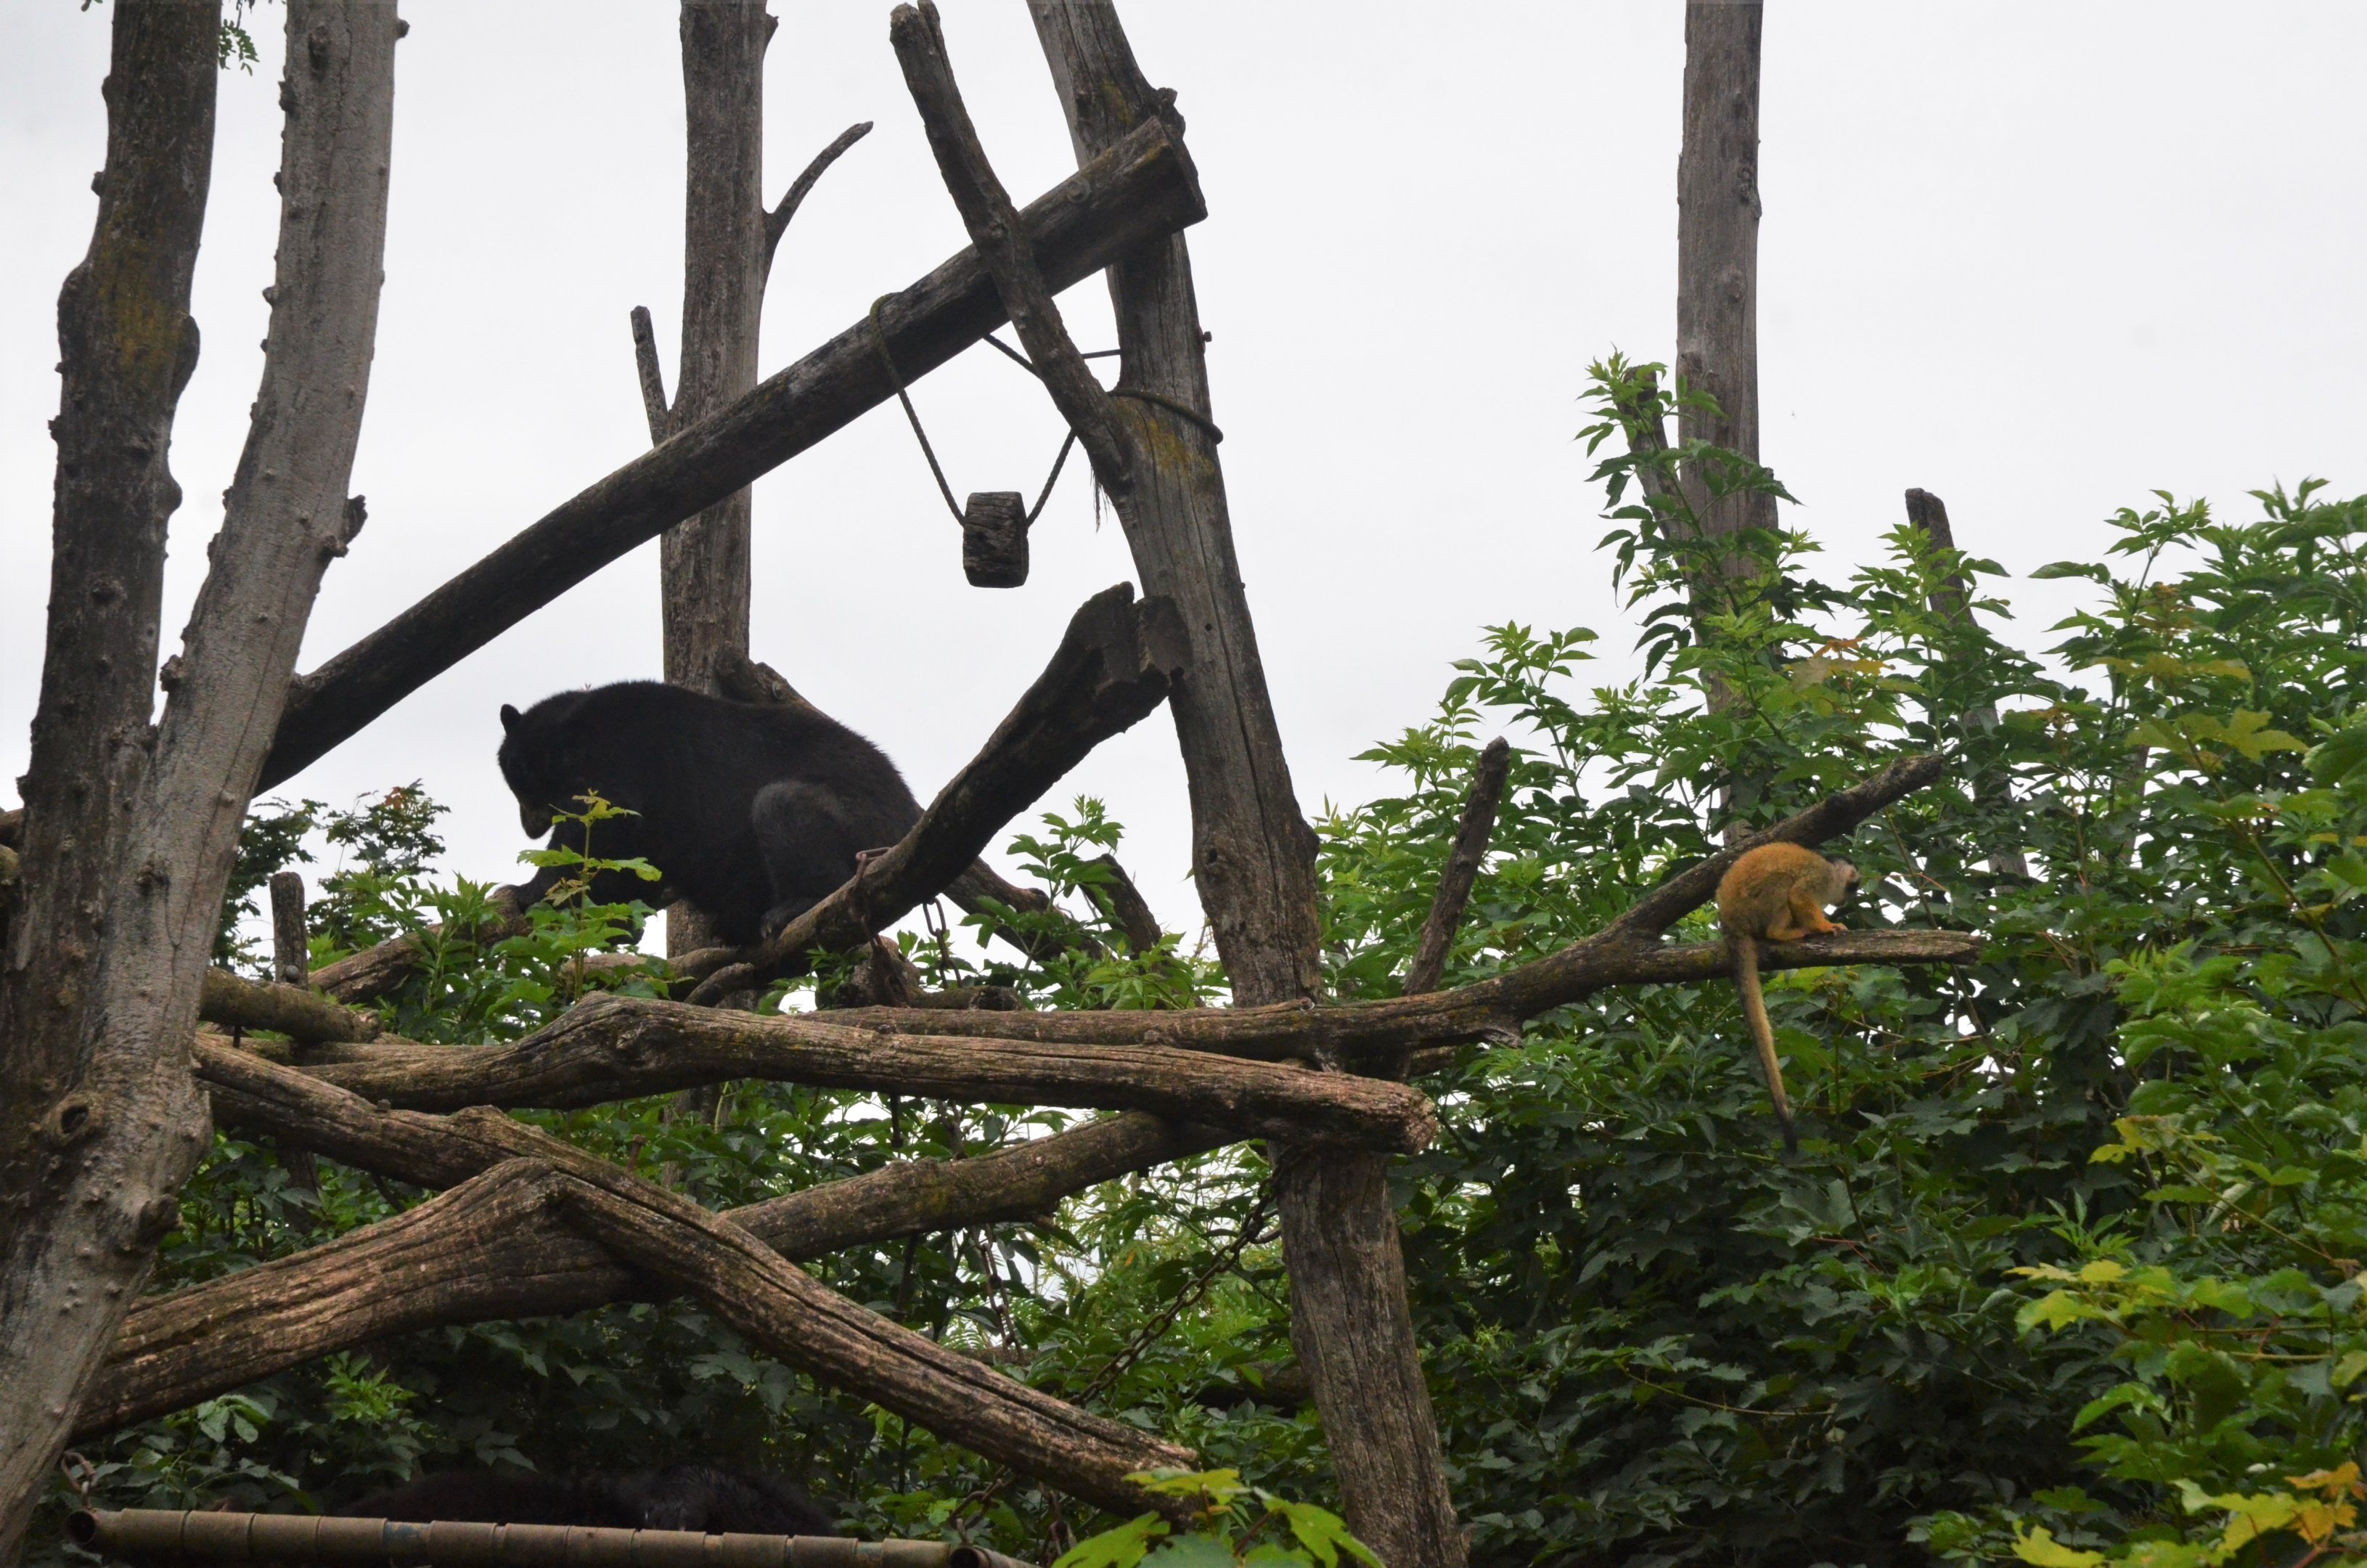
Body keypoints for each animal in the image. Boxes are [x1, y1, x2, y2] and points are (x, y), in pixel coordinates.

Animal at [496, 681, 923, 946]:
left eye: (517, 777)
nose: (529, 827)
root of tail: (909, 815)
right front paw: (622, 921)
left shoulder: (625, 766)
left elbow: (595, 836)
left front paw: (523, 890)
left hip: (859, 819)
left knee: (782, 807)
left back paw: (786, 911)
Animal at [1714, 842, 1860, 1153]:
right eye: (1853, 886)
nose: (1847, 901)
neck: (1830, 869)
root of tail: (1729, 922)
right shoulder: (1820, 877)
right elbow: (1799, 895)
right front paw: (1826, 926)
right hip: (1753, 907)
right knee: (1782, 886)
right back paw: (1780, 933)